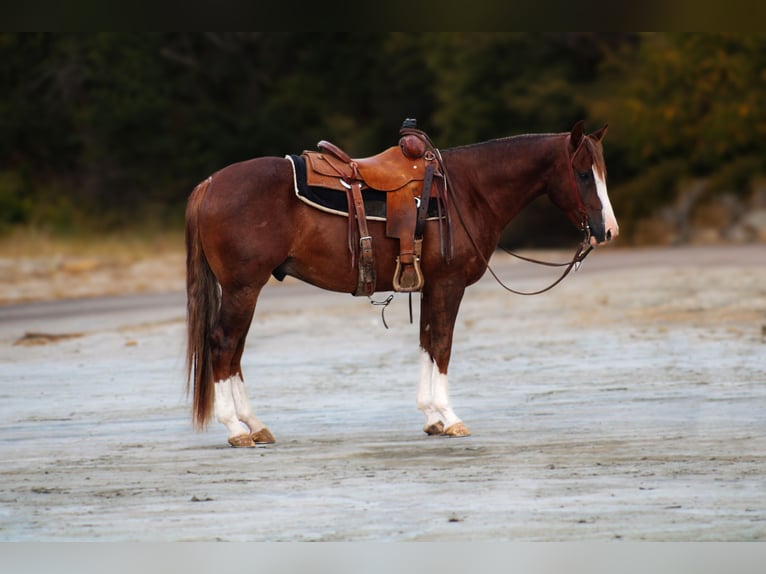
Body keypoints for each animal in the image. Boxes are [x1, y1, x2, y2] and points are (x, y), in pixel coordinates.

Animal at [186, 119, 616, 448]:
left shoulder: (430, 287)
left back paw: (255, 425)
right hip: (243, 288)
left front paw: (432, 418)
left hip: (244, 290)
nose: (607, 231)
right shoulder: (448, 284)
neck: (468, 191)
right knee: (223, 345)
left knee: (235, 351)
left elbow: (426, 342)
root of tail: (209, 183)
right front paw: (451, 417)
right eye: (582, 174)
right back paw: (236, 428)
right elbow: (441, 345)